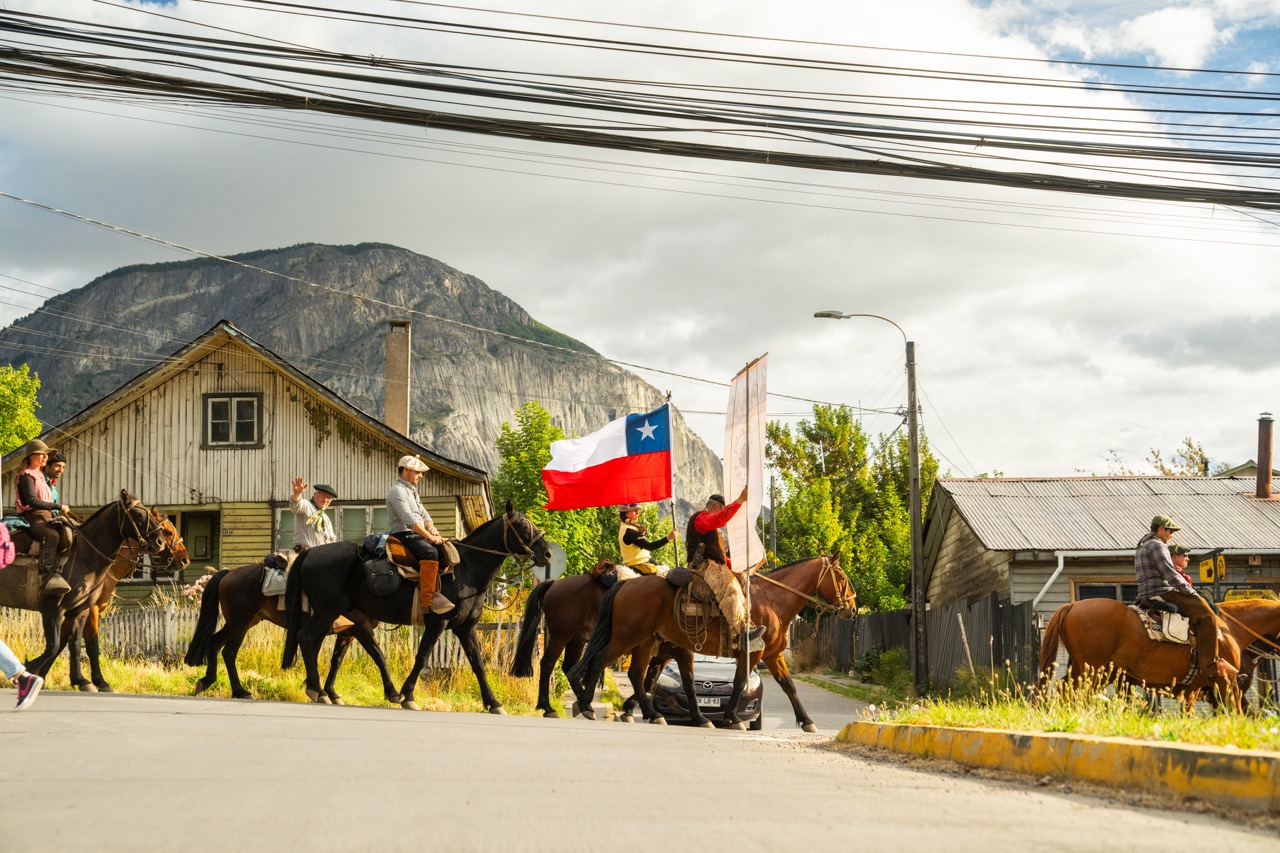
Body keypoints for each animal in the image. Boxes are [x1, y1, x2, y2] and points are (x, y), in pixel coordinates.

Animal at [184, 555, 378, 701]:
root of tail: (228, 572)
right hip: (239, 623)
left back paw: (207, 681)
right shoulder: (361, 628)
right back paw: (240, 691)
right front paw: (318, 689)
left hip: (242, 622)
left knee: (214, 643)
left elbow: (335, 661)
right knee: (229, 653)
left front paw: (329, 692)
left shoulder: (347, 633)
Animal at [284, 499, 550, 712]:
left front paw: (493, 703)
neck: (466, 569)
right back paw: (317, 690)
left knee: (319, 644)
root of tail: (310, 553)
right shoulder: (438, 623)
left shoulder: (465, 628)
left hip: (332, 614)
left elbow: (478, 664)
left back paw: (321, 689)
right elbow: (422, 657)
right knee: (307, 638)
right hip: (327, 611)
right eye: (524, 526)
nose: (547, 554)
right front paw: (408, 695)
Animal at [573, 555, 860, 727]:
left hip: (644, 643)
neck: (772, 600)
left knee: (636, 674)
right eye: (841, 577)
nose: (852, 609)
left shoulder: (772, 656)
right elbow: (739, 682)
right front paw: (733, 717)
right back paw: (587, 705)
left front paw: (806, 720)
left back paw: (651, 713)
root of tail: (625, 584)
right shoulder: (752, 653)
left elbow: (788, 685)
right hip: (626, 637)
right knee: (600, 661)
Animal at [1039, 594, 1239, 706]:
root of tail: (1072, 605)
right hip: (1093, 670)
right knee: (1080, 693)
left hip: (1084, 669)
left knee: (1064, 687)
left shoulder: (1193, 690)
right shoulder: (1226, 681)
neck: (1225, 630)